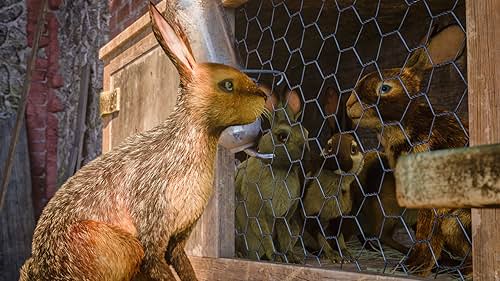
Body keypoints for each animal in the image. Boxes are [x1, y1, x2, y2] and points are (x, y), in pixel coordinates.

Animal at [232, 1, 470, 278]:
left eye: (385, 87)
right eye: (327, 146)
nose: (351, 103)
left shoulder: (331, 218)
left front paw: (339, 255)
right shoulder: (289, 216)